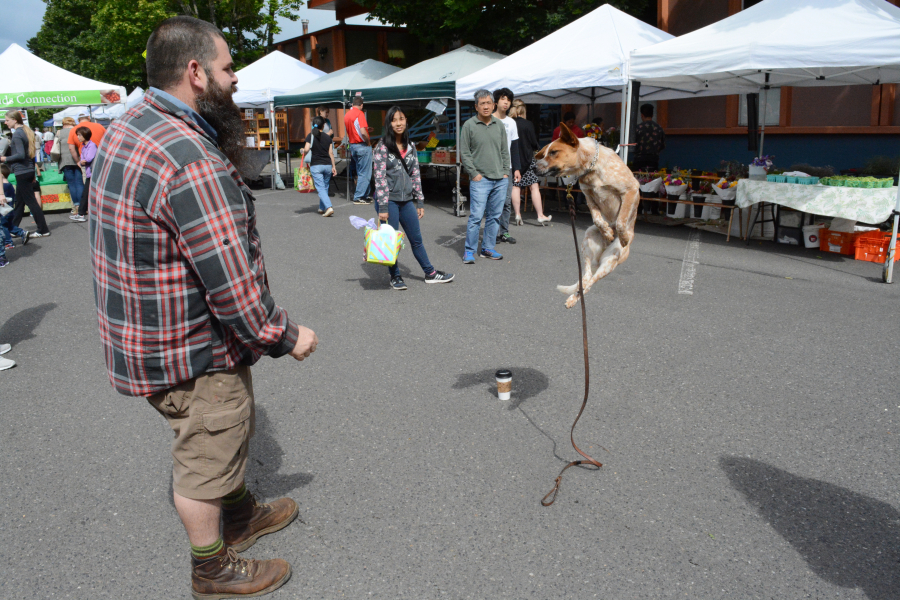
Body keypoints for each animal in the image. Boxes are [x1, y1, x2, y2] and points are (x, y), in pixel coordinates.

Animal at [536, 123, 640, 310]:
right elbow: (597, 219)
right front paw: (607, 232)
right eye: (545, 153)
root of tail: (601, 256)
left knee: (590, 282)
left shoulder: (631, 190)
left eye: (554, 152)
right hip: (586, 242)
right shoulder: (589, 196)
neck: (592, 168)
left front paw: (621, 237)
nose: (533, 167)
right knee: (585, 277)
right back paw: (574, 297)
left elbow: (621, 221)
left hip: (610, 261)